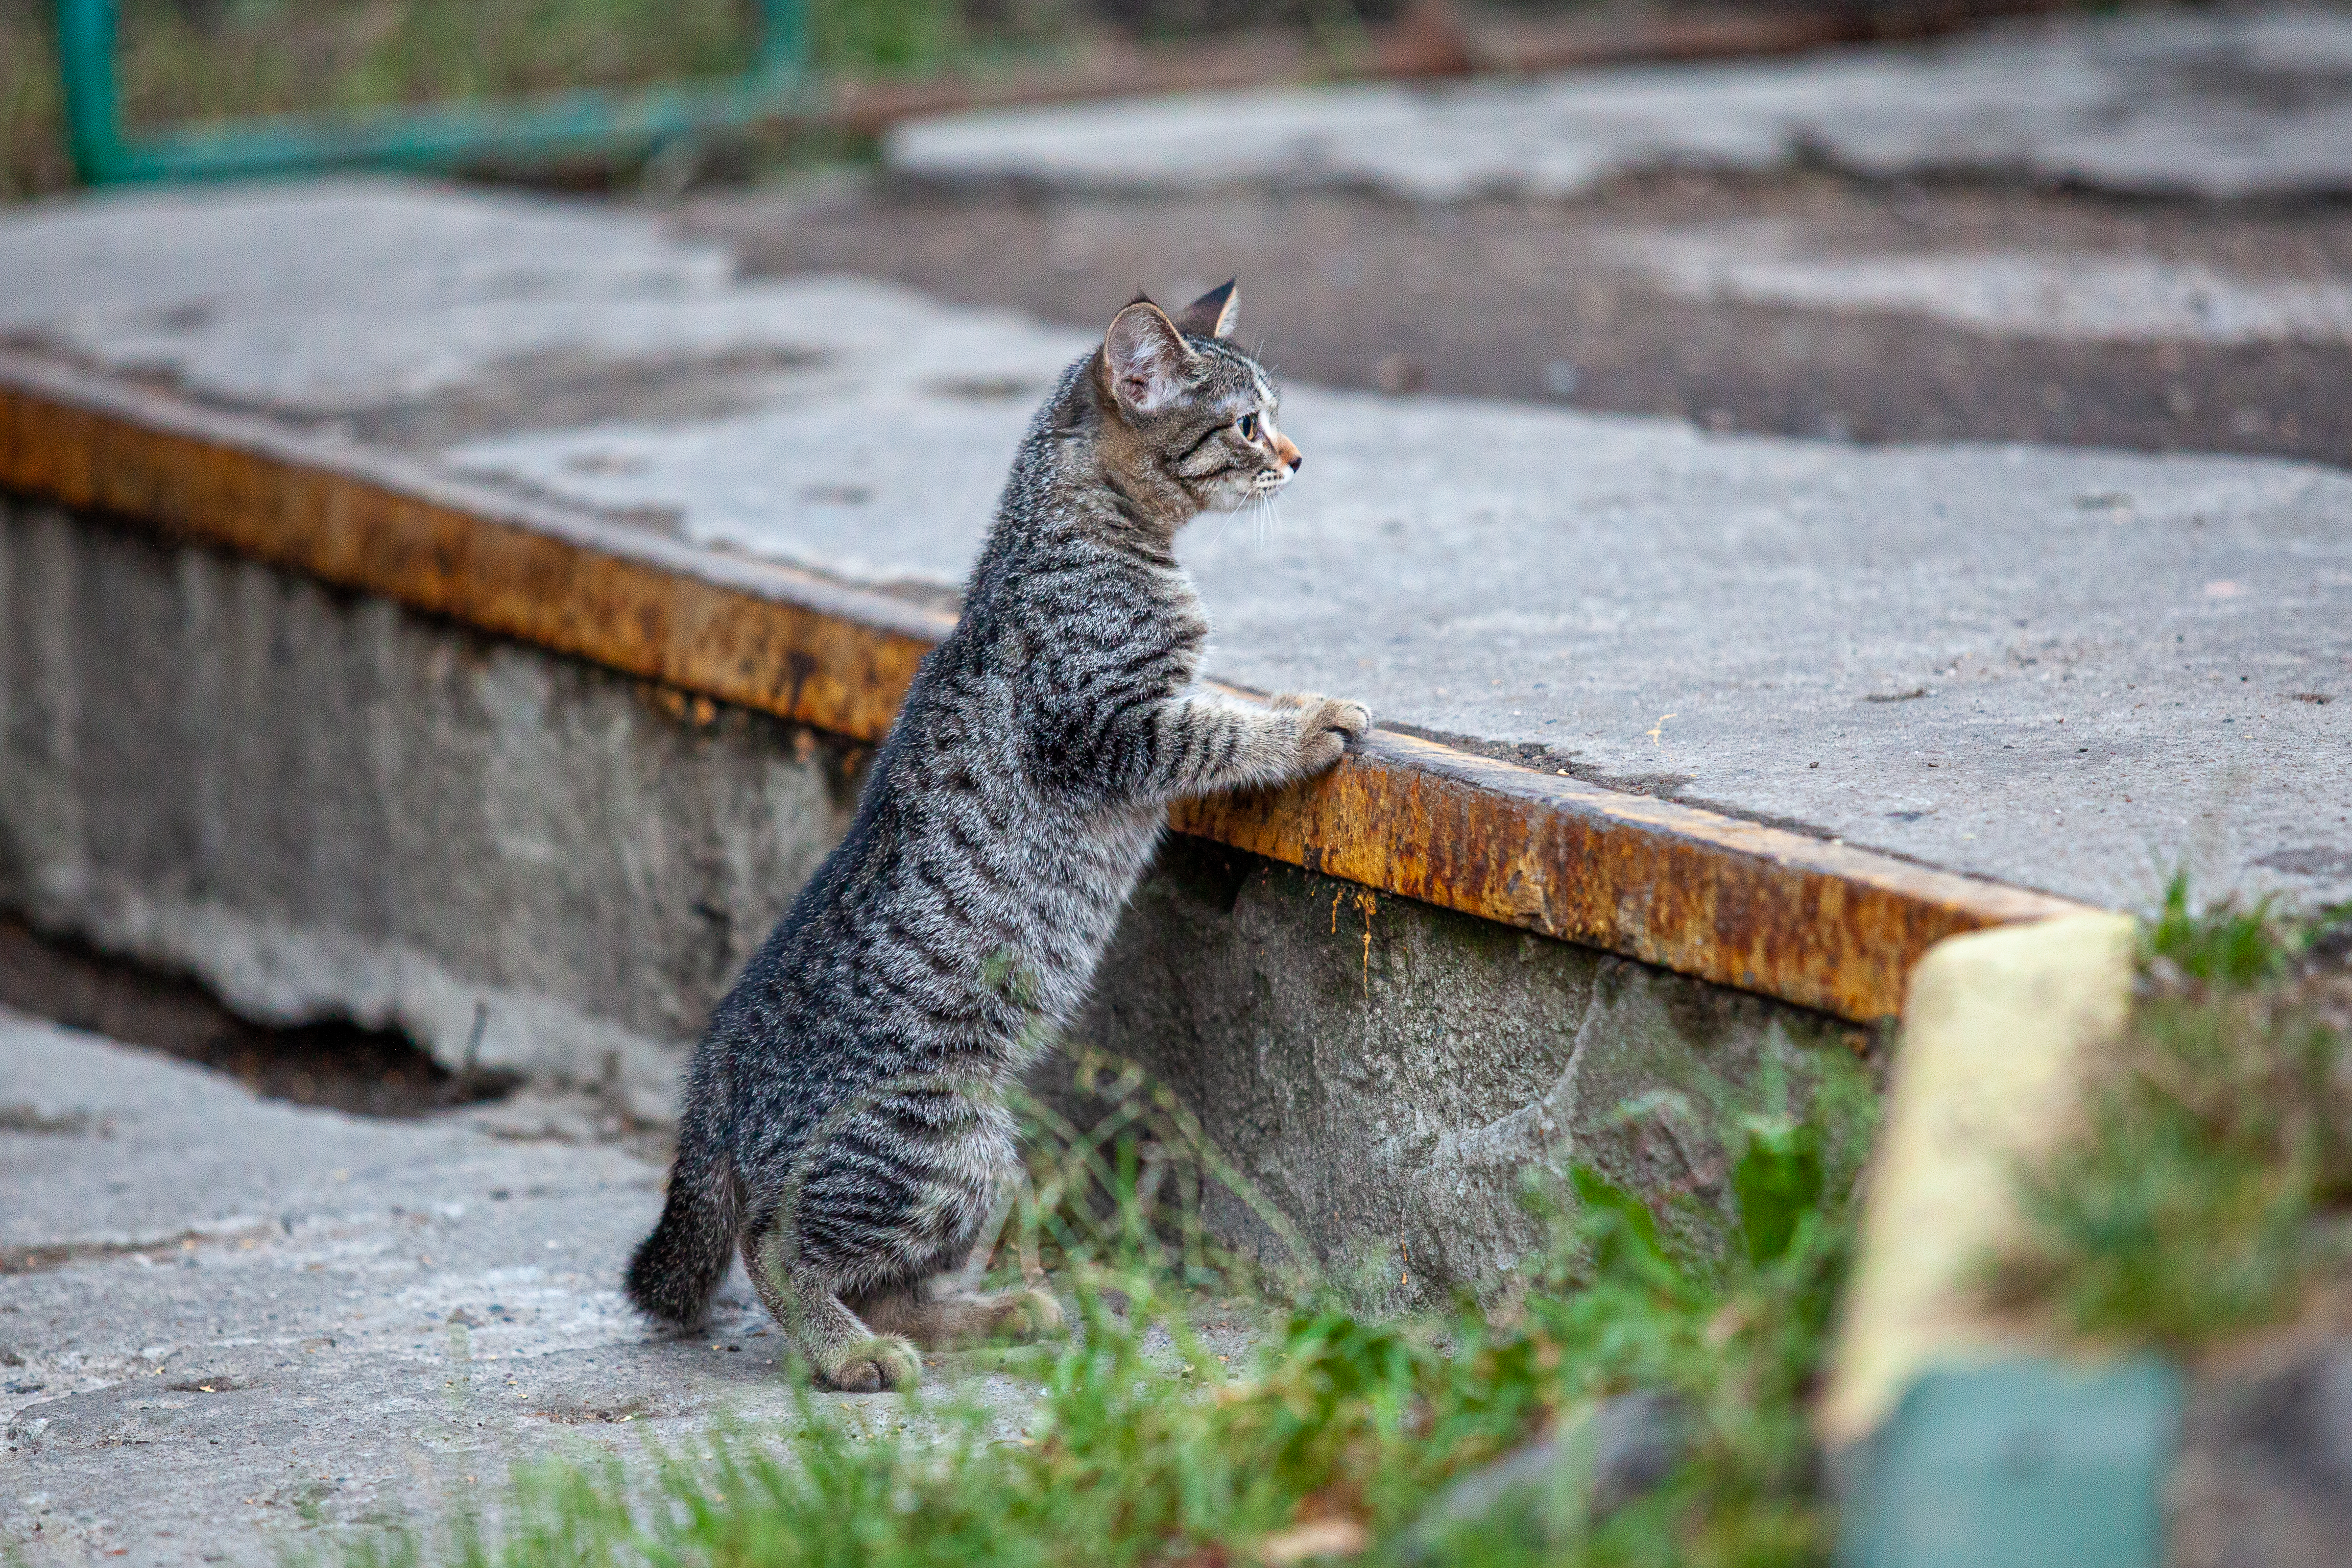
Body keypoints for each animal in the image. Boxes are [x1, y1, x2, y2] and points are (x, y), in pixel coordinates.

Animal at [626, 282, 1373, 1382]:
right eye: (1247, 423)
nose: (1297, 456)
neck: (1066, 531)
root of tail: (715, 1074)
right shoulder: (1108, 725)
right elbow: (1218, 729)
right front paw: (1304, 722)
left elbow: (1221, 697)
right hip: (939, 1140)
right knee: (777, 1244)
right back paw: (848, 1352)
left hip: (976, 1164)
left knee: (896, 1281)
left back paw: (994, 1313)